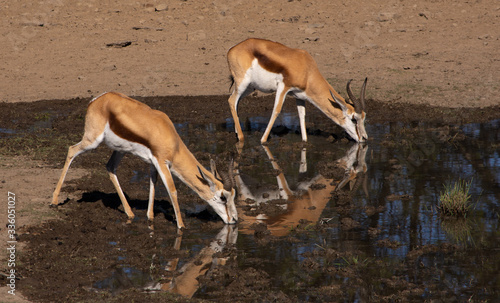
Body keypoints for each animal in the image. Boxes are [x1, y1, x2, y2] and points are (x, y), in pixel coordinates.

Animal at [52, 91, 238, 229]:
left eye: (234, 195)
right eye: (223, 197)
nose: (234, 220)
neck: (172, 141)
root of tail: (97, 99)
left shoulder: (153, 163)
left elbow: (153, 183)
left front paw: (150, 217)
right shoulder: (162, 162)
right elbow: (172, 190)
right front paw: (181, 227)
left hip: (120, 150)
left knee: (110, 167)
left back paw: (130, 213)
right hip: (93, 140)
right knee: (71, 150)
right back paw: (54, 201)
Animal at [227, 38, 368, 144]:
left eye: (364, 117)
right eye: (354, 119)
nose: (364, 138)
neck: (307, 70)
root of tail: (232, 49)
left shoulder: (299, 96)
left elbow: (302, 115)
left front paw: (304, 141)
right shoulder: (283, 87)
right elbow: (276, 111)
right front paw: (263, 140)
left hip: (249, 87)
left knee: (236, 102)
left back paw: (237, 133)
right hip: (243, 83)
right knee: (231, 100)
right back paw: (241, 138)